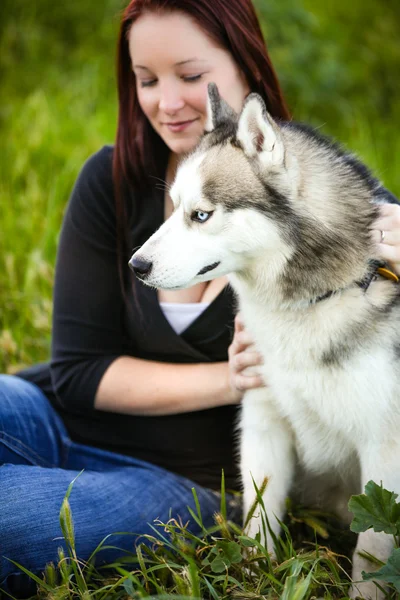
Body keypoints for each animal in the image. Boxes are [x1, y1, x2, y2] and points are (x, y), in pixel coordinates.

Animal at [130, 83, 400, 596]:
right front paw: (253, 579)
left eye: (201, 214)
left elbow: (372, 554)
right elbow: (259, 526)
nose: (136, 265)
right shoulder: (263, 425)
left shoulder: (384, 452)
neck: (311, 302)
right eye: (174, 208)